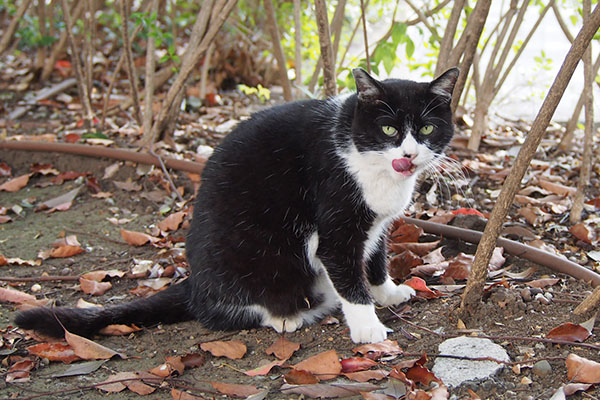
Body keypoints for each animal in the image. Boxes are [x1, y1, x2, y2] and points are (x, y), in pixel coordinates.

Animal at [17, 67, 460, 342]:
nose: (409, 154)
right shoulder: (337, 216)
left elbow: (375, 258)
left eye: (426, 128)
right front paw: (368, 326)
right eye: (388, 129)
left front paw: (387, 292)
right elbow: (348, 269)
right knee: (218, 313)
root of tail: (194, 283)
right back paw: (289, 314)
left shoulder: (377, 222)